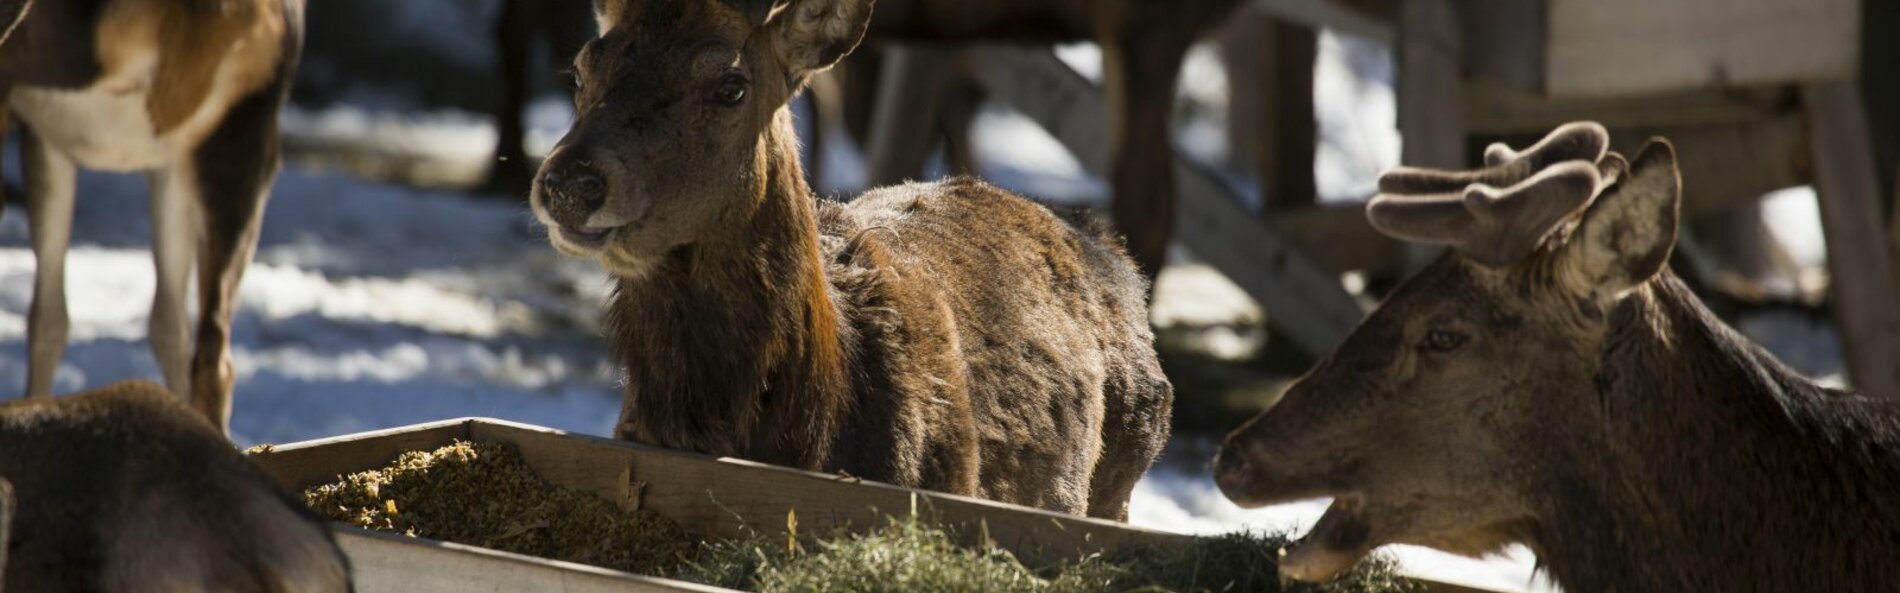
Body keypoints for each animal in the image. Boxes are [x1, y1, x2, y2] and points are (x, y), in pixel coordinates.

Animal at [0, 0, 304, 435]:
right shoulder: (169, 162)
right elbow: (167, 325)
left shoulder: (42, 134)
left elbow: (49, 318)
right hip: (243, 137)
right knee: (211, 351)